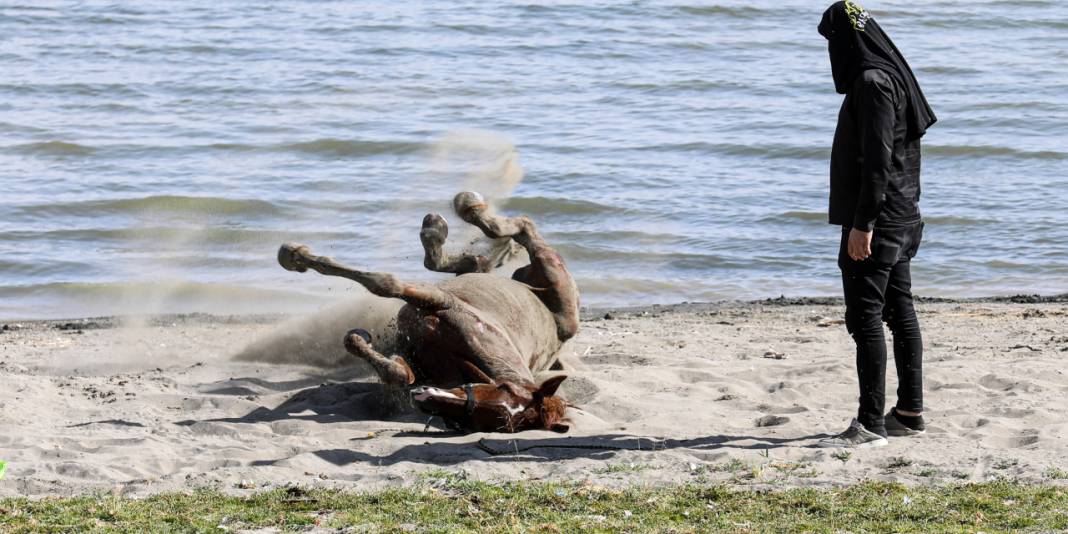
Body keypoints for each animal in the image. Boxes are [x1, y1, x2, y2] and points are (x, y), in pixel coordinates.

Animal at [275, 192, 576, 433]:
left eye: (498, 422)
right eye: (505, 389)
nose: (428, 398)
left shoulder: (413, 357)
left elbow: (395, 371)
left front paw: (360, 337)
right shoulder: (441, 302)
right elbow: (385, 283)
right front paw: (296, 255)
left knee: (482, 255)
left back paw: (443, 228)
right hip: (548, 270)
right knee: (517, 231)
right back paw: (457, 216)